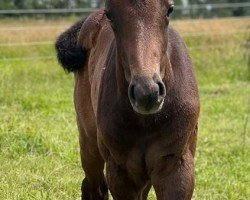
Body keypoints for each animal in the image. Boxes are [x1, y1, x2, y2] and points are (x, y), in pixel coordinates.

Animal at [55, 0, 199, 199]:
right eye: (110, 14)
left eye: (170, 9)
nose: (146, 93)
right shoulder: (121, 172)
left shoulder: (176, 168)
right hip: (89, 145)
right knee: (93, 186)